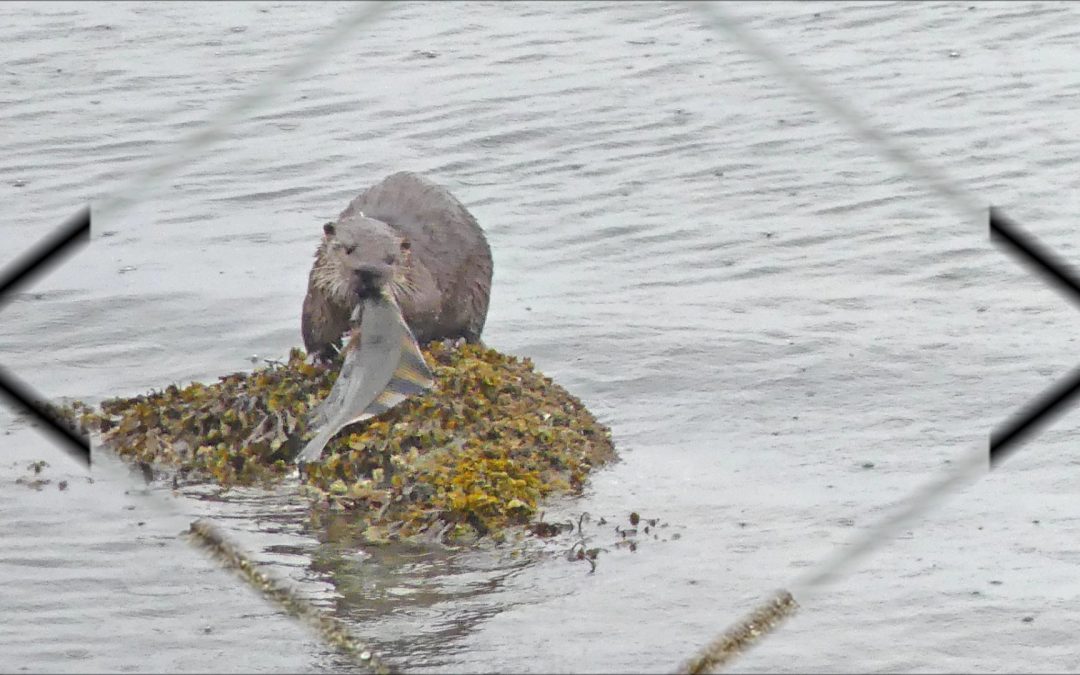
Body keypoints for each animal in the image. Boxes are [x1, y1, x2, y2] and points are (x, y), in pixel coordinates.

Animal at [301, 171, 493, 363]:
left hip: (478, 289)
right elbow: (316, 324)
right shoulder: (319, 289)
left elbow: (426, 313)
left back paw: (454, 341)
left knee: (471, 330)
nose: (369, 270)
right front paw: (319, 357)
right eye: (349, 248)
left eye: (390, 258)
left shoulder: (423, 290)